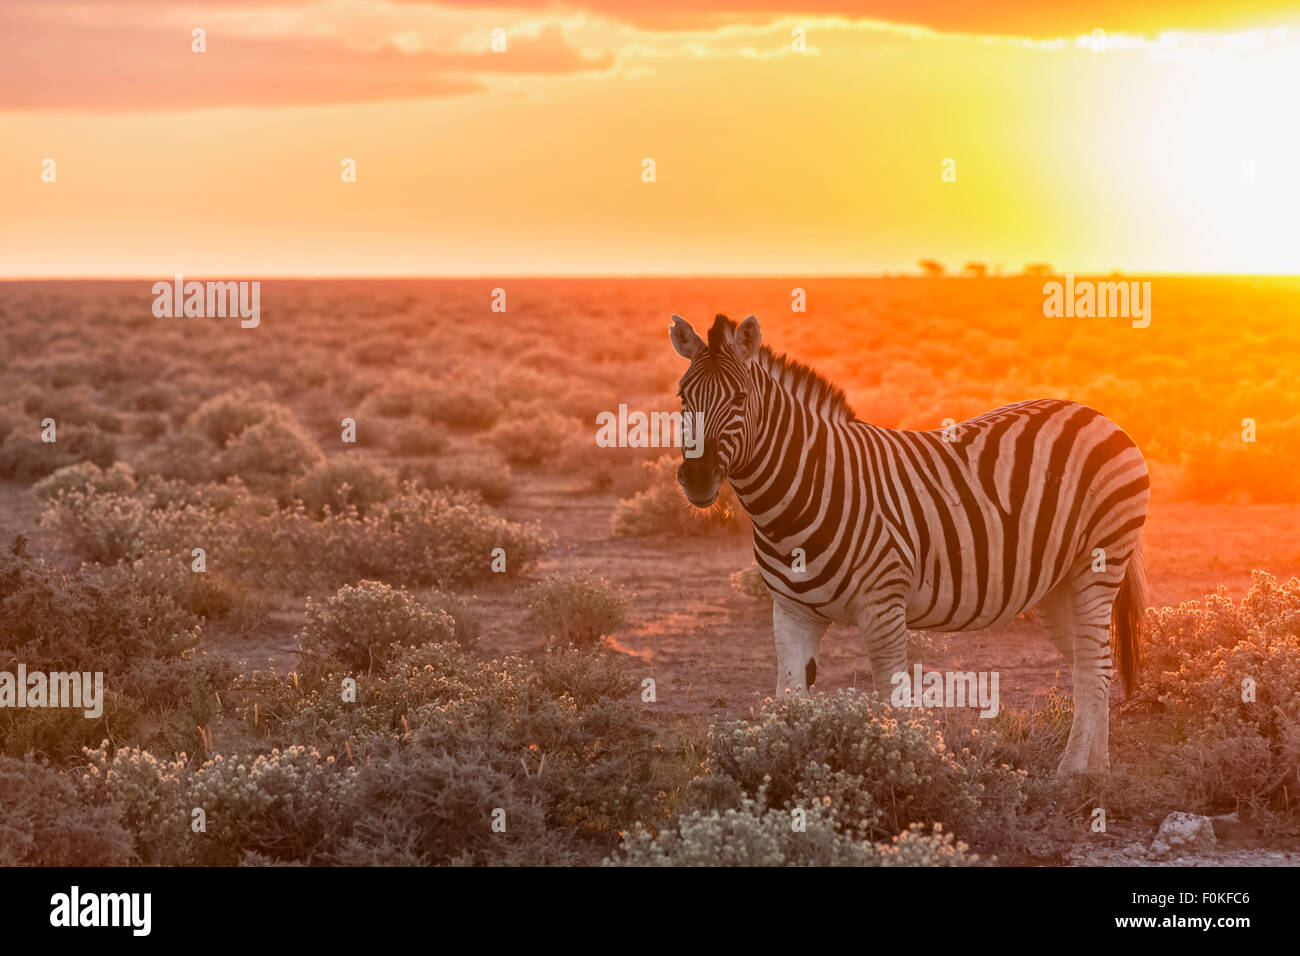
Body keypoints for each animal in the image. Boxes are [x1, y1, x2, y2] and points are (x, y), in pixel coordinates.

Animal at [669, 312, 1149, 775]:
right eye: (682, 399)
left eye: (739, 399)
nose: (696, 478)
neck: (806, 491)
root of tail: (1096, 413)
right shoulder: (791, 611)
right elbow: (790, 701)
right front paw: (790, 782)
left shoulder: (883, 607)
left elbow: (892, 706)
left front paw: (895, 779)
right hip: (1054, 586)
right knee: (1093, 664)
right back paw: (1097, 770)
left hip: (1098, 564)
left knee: (1095, 666)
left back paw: (1072, 773)